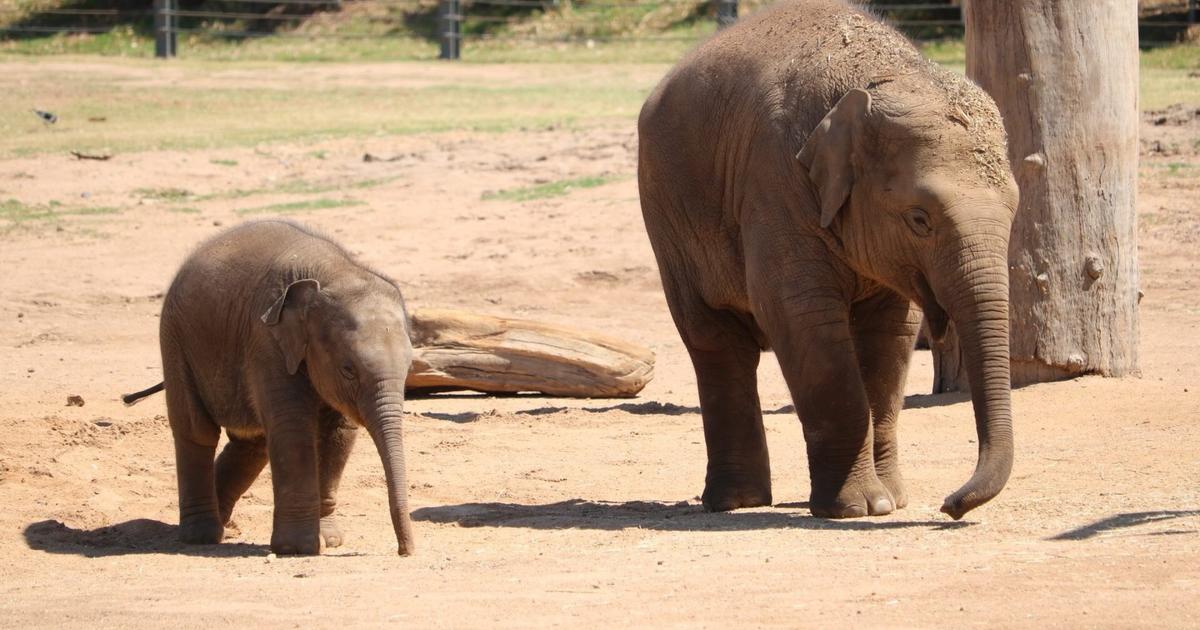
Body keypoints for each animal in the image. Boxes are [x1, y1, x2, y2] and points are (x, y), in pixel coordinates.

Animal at [123, 220, 416, 555]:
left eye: (409, 368)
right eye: (348, 370)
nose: (404, 551)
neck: (335, 272)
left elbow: (338, 433)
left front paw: (328, 540)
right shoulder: (266, 342)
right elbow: (292, 427)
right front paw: (297, 548)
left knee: (253, 442)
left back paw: (222, 524)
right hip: (175, 341)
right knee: (196, 431)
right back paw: (200, 536)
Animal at [637, 0, 1018, 520]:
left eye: (1015, 207)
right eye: (919, 218)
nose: (950, 505)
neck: (878, 77)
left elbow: (891, 337)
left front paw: (890, 502)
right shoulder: (775, 180)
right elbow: (802, 318)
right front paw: (859, 507)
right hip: (668, 219)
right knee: (714, 339)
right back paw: (735, 503)